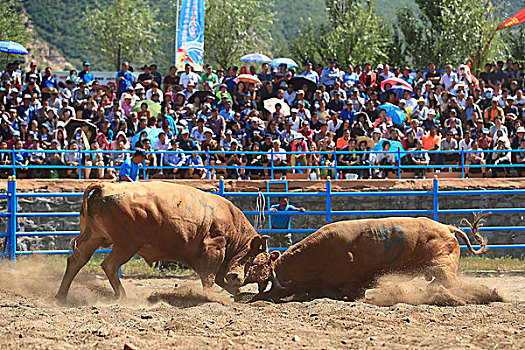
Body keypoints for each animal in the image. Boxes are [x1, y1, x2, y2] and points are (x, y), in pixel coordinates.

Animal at [56, 180, 266, 300]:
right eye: (256, 260)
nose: (238, 278)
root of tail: (107, 187)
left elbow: (221, 279)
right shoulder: (214, 248)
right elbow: (209, 277)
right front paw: (210, 298)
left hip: (95, 236)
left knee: (77, 260)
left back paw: (61, 295)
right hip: (127, 244)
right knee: (110, 265)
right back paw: (123, 296)